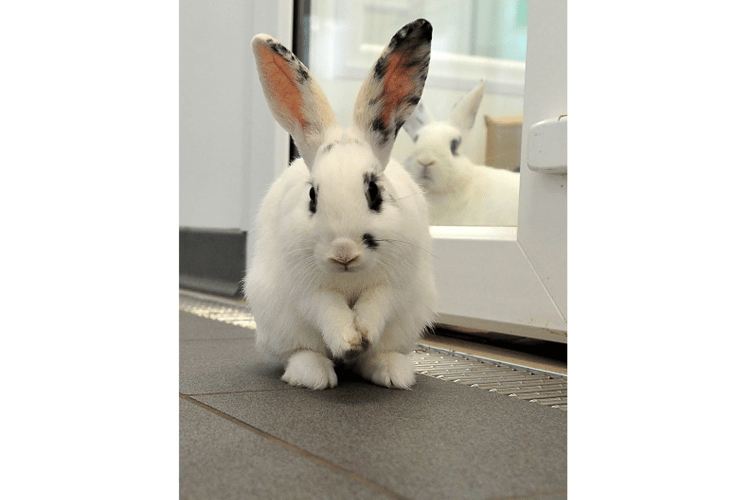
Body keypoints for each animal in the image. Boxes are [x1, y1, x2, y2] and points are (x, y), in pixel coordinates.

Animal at [244, 20, 438, 390]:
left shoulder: (393, 284)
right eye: (312, 196)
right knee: (300, 351)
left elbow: (376, 304)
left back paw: (392, 371)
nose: (343, 253)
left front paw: (362, 336)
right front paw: (348, 342)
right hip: (275, 318)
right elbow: (328, 310)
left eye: (374, 192)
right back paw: (313, 374)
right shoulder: (308, 287)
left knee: (376, 356)